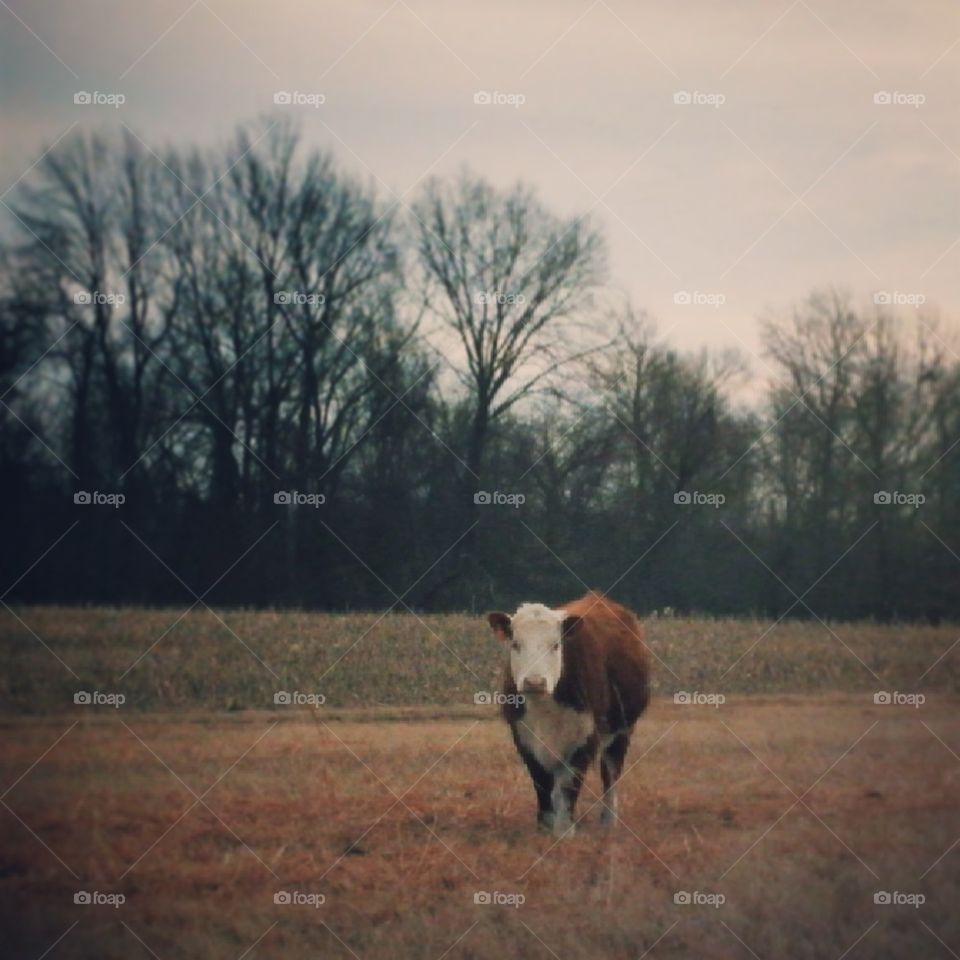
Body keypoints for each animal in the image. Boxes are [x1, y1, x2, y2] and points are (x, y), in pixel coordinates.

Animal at [487, 591, 650, 838]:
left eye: (556, 645)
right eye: (516, 644)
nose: (535, 682)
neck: (545, 707)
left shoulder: (586, 737)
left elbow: (569, 784)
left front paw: (564, 830)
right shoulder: (523, 737)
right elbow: (542, 781)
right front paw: (545, 827)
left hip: (622, 730)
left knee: (610, 773)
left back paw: (608, 820)